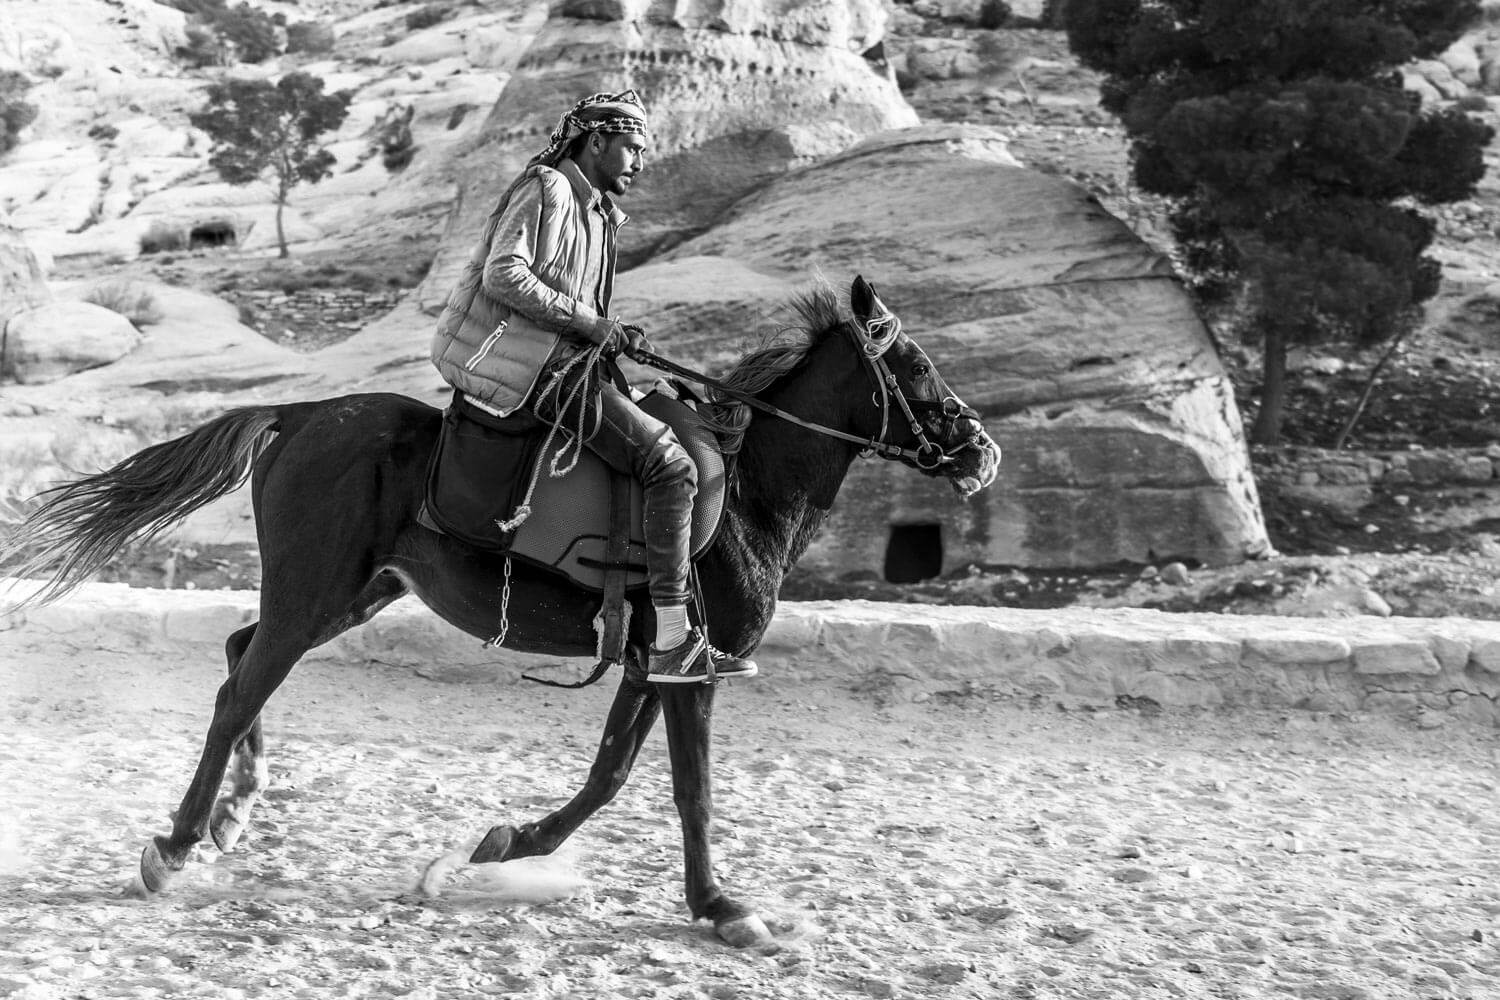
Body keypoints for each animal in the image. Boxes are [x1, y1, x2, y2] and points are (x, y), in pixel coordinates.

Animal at [11, 277, 1002, 953]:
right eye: (916, 368)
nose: (981, 450)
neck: (749, 491)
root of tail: (299, 414)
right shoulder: (697, 668)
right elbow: (692, 790)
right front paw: (724, 908)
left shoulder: (651, 663)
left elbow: (609, 774)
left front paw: (510, 842)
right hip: (315, 593)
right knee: (237, 692)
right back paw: (178, 843)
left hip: (352, 593)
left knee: (238, 653)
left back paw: (235, 811)